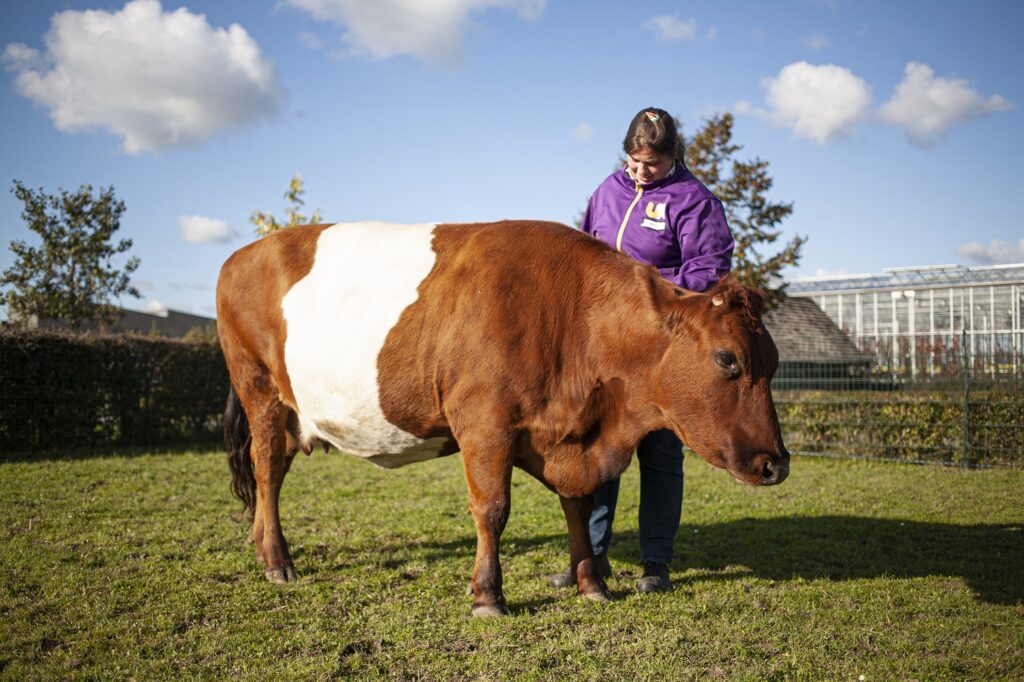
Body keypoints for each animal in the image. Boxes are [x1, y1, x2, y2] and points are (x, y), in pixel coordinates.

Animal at [216, 219, 789, 617]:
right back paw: (278, 561)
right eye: (728, 359)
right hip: (259, 386)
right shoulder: (484, 423)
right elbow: (492, 510)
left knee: (272, 473)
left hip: (293, 409)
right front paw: (488, 596)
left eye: (775, 363)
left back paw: (260, 545)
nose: (777, 464)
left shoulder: (570, 436)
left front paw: (592, 585)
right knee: (266, 468)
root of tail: (243, 253)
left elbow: (578, 508)